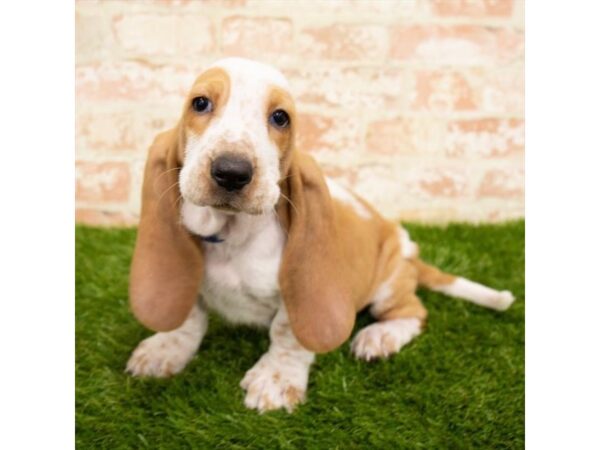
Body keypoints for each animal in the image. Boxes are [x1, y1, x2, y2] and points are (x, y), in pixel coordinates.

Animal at [124, 58, 512, 414]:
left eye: (281, 118)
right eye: (200, 103)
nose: (232, 172)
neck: (234, 236)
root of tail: (409, 251)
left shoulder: (293, 297)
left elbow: (286, 332)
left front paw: (276, 380)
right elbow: (189, 316)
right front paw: (166, 348)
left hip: (388, 284)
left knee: (413, 311)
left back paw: (379, 337)